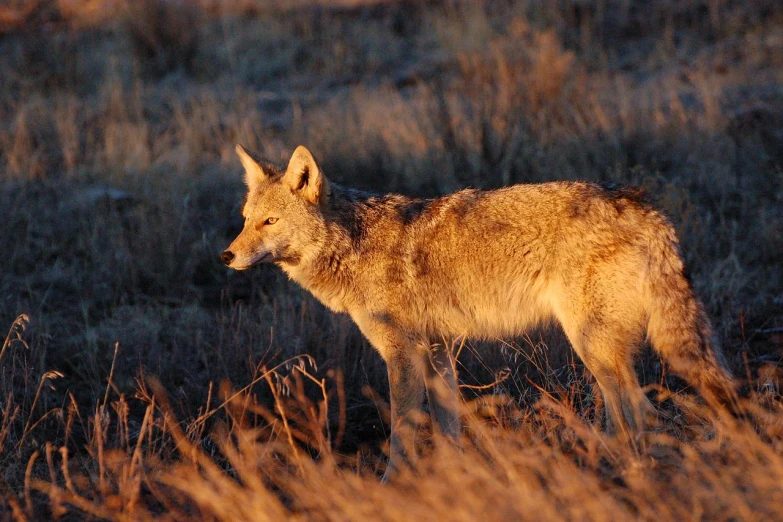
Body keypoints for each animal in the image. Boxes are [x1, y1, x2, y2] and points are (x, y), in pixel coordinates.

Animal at [222, 144, 740, 478]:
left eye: (270, 221)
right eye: (245, 220)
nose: (226, 256)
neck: (353, 246)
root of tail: (639, 203)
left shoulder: (402, 353)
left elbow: (403, 429)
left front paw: (394, 485)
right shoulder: (437, 351)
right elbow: (448, 423)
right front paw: (456, 474)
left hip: (591, 345)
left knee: (639, 413)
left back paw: (621, 469)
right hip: (601, 350)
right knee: (631, 411)